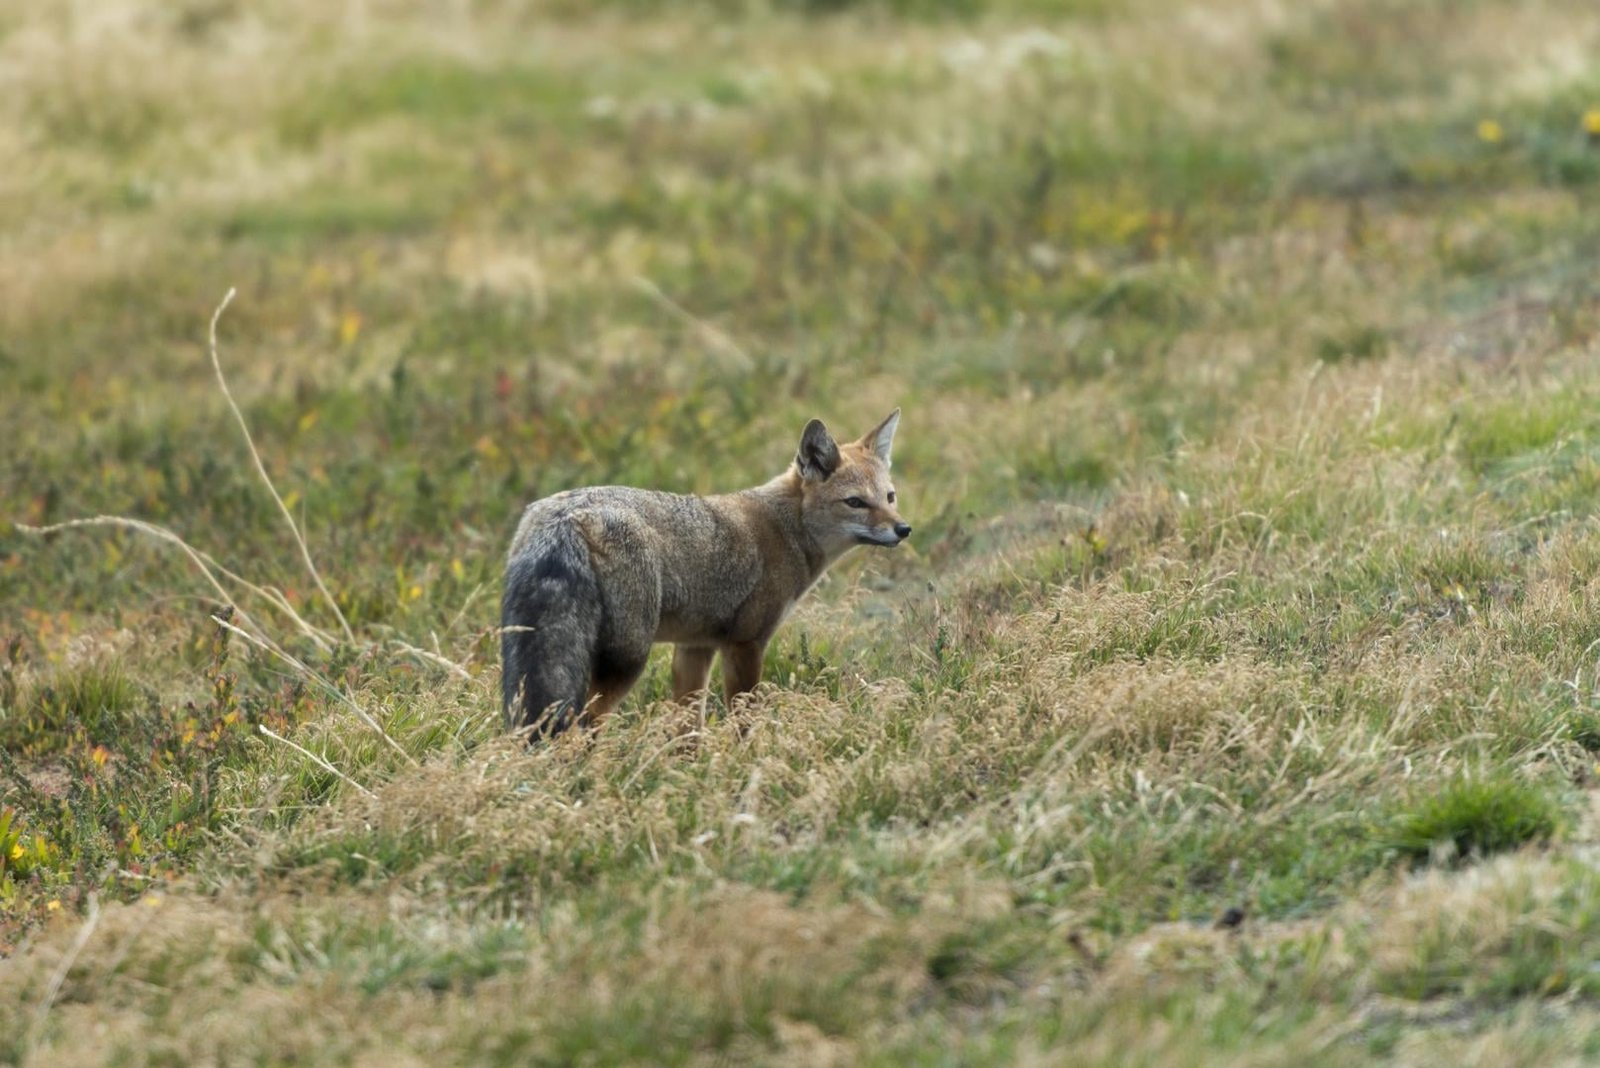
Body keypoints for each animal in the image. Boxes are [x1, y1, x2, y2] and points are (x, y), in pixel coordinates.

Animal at [501, 409, 910, 736]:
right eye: (856, 502)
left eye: (890, 497)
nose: (903, 529)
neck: (786, 528)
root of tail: (566, 516)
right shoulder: (746, 644)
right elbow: (744, 721)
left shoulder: (694, 647)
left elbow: (688, 731)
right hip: (627, 661)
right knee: (583, 725)